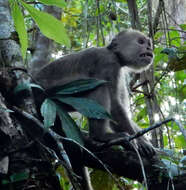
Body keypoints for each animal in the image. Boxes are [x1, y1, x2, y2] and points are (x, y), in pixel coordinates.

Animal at [33, 29, 154, 189]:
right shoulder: (107, 62)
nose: (149, 48)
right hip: (49, 95)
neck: (115, 55)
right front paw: (138, 140)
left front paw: (144, 140)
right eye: (141, 42)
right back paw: (99, 135)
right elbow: (114, 106)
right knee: (98, 85)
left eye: (148, 43)